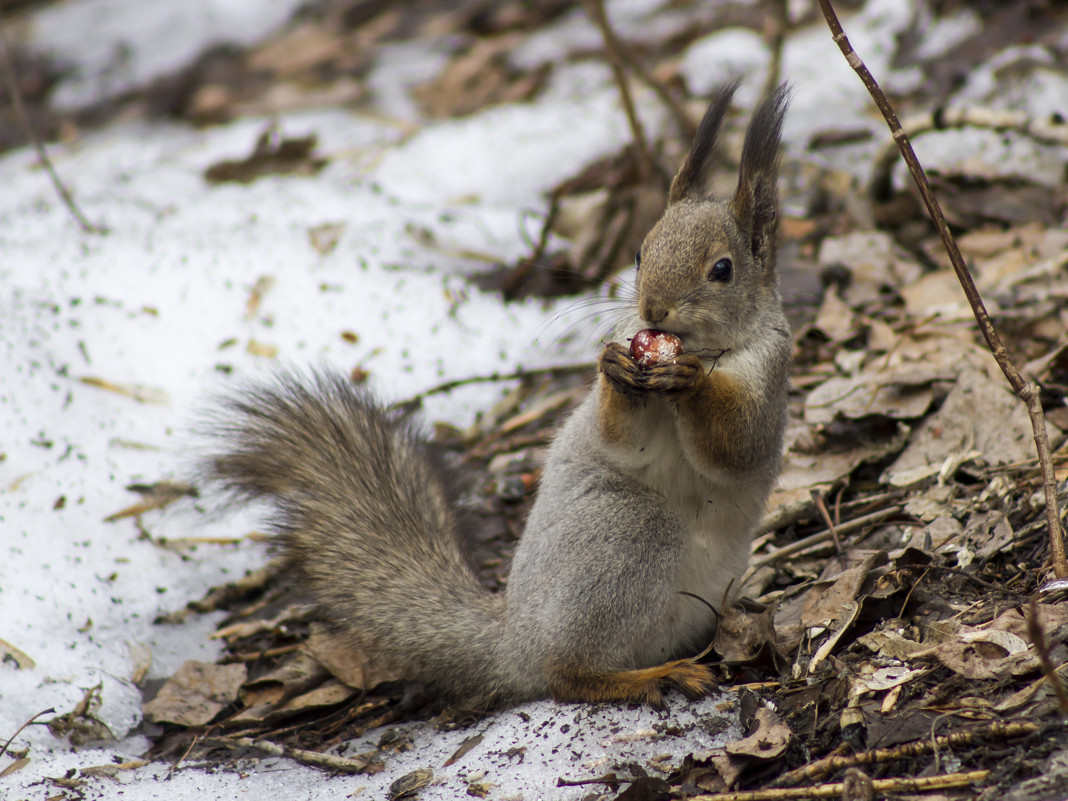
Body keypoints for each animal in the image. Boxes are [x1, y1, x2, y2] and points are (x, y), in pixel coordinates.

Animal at [203, 81, 794, 709]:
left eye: (722, 270)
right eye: (639, 252)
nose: (653, 310)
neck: (706, 349)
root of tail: (514, 640)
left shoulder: (769, 375)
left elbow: (736, 446)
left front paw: (691, 381)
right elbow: (621, 436)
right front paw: (613, 369)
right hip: (625, 530)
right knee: (566, 674)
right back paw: (650, 677)